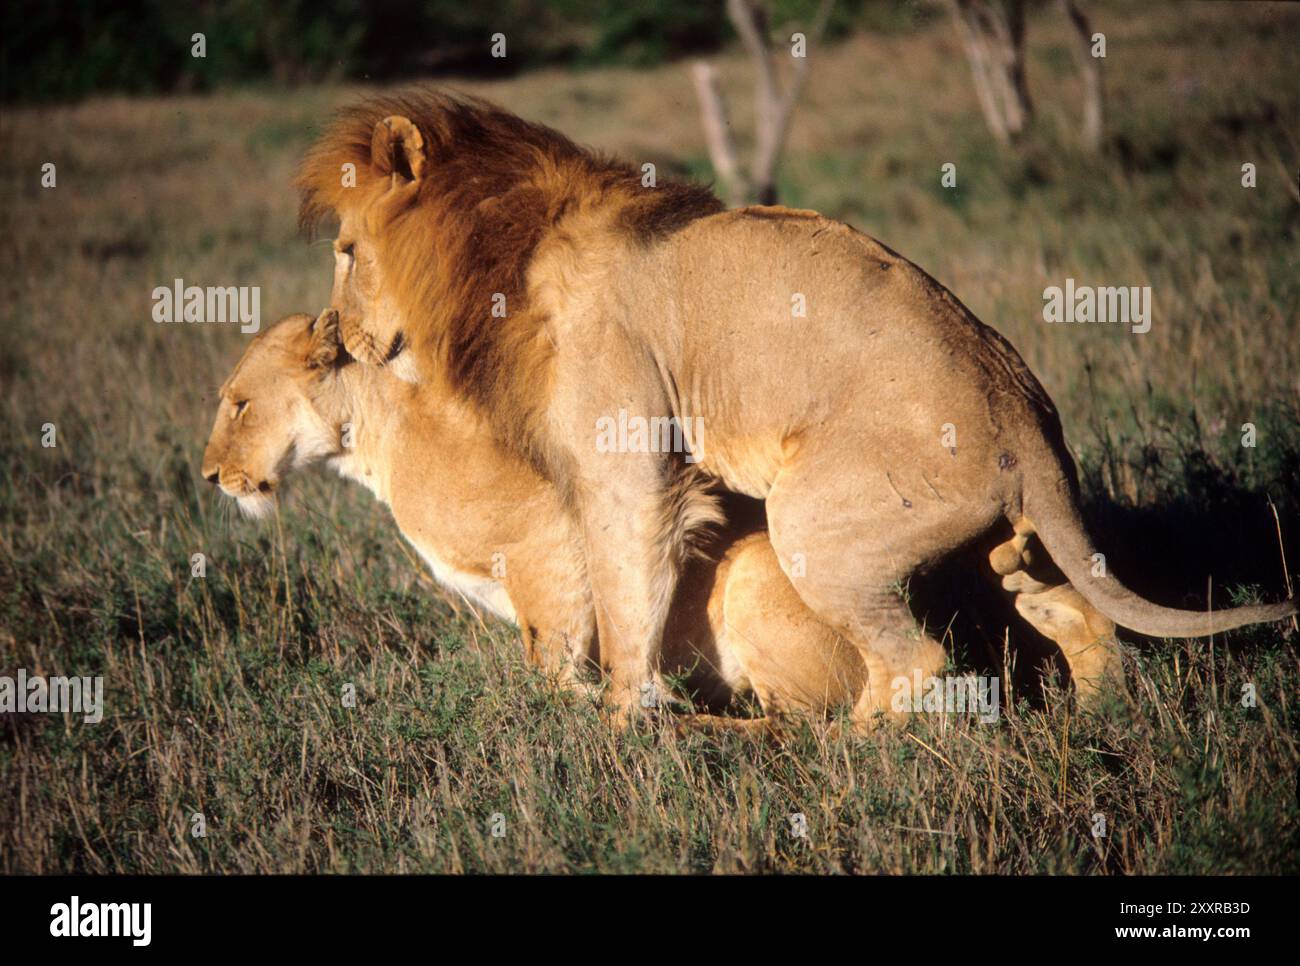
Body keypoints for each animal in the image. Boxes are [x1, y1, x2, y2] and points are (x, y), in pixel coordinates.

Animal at [201, 311, 866, 727]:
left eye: (239, 404)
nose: (208, 476)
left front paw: (603, 710)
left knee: (798, 730)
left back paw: (692, 725)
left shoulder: (558, 535)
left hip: (757, 575)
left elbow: (555, 665)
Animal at [296, 92, 1296, 728]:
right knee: (1078, 620)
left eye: (345, 251)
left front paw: (620, 731)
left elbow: (624, 602)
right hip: (1009, 539)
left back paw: (839, 756)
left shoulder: (629, 461)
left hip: (814, 519)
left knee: (919, 665)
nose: (332, 336)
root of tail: (1028, 423)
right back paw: (1094, 728)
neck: (509, 251)